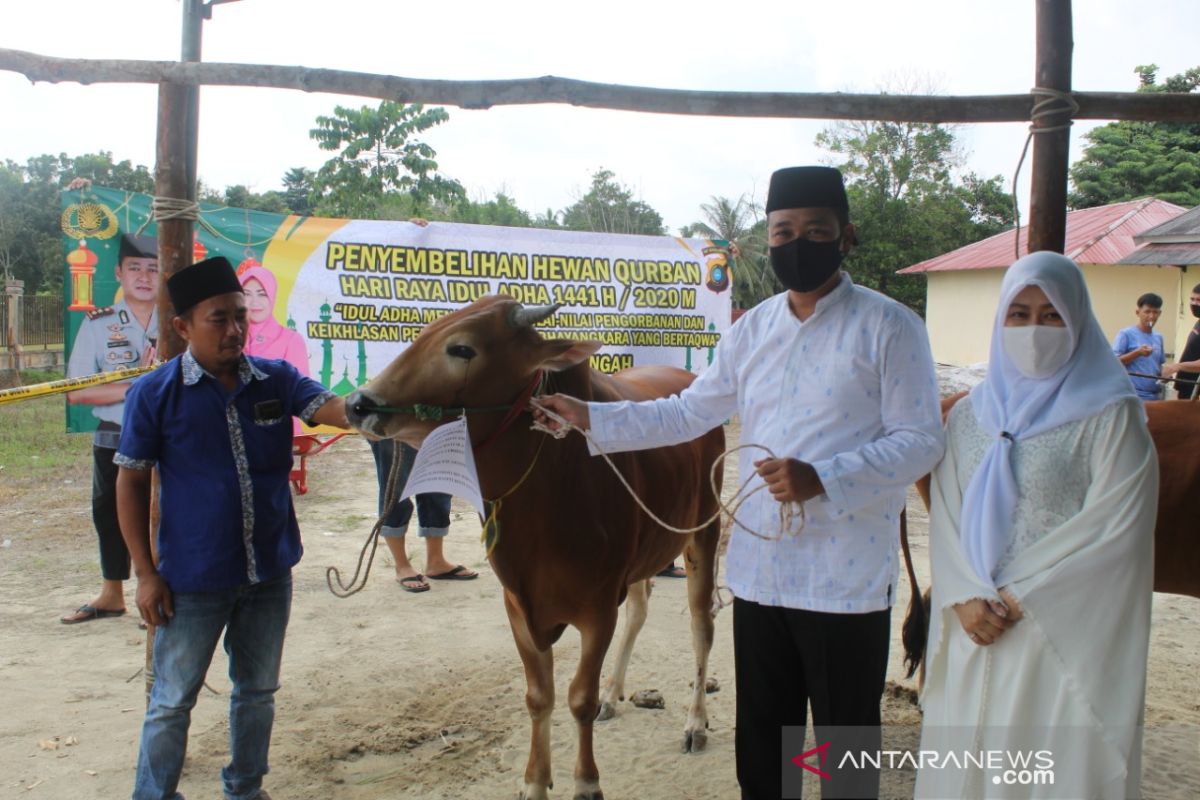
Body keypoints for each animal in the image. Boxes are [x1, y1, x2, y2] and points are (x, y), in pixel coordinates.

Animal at [343, 297, 724, 800]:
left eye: (462, 349)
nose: (356, 403)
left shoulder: (597, 609)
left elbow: (578, 699)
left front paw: (586, 782)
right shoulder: (518, 607)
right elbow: (539, 698)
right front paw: (535, 782)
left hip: (704, 531)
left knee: (701, 626)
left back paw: (695, 722)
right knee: (640, 611)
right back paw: (615, 693)